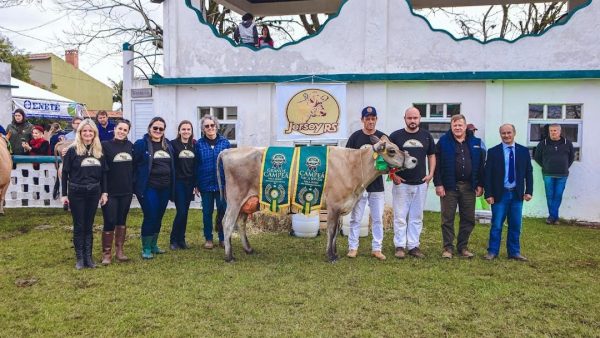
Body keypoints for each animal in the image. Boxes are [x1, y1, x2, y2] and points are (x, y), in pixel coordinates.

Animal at [218, 134, 420, 262]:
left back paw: (248, 249)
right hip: (235, 199)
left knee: (240, 223)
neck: (354, 166)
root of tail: (228, 152)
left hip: (247, 201)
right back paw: (229, 256)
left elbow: (336, 231)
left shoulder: (341, 206)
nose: (414, 160)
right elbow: (331, 231)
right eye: (392, 151)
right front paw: (330, 256)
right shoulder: (334, 205)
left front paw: (336, 253)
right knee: (227, 222)